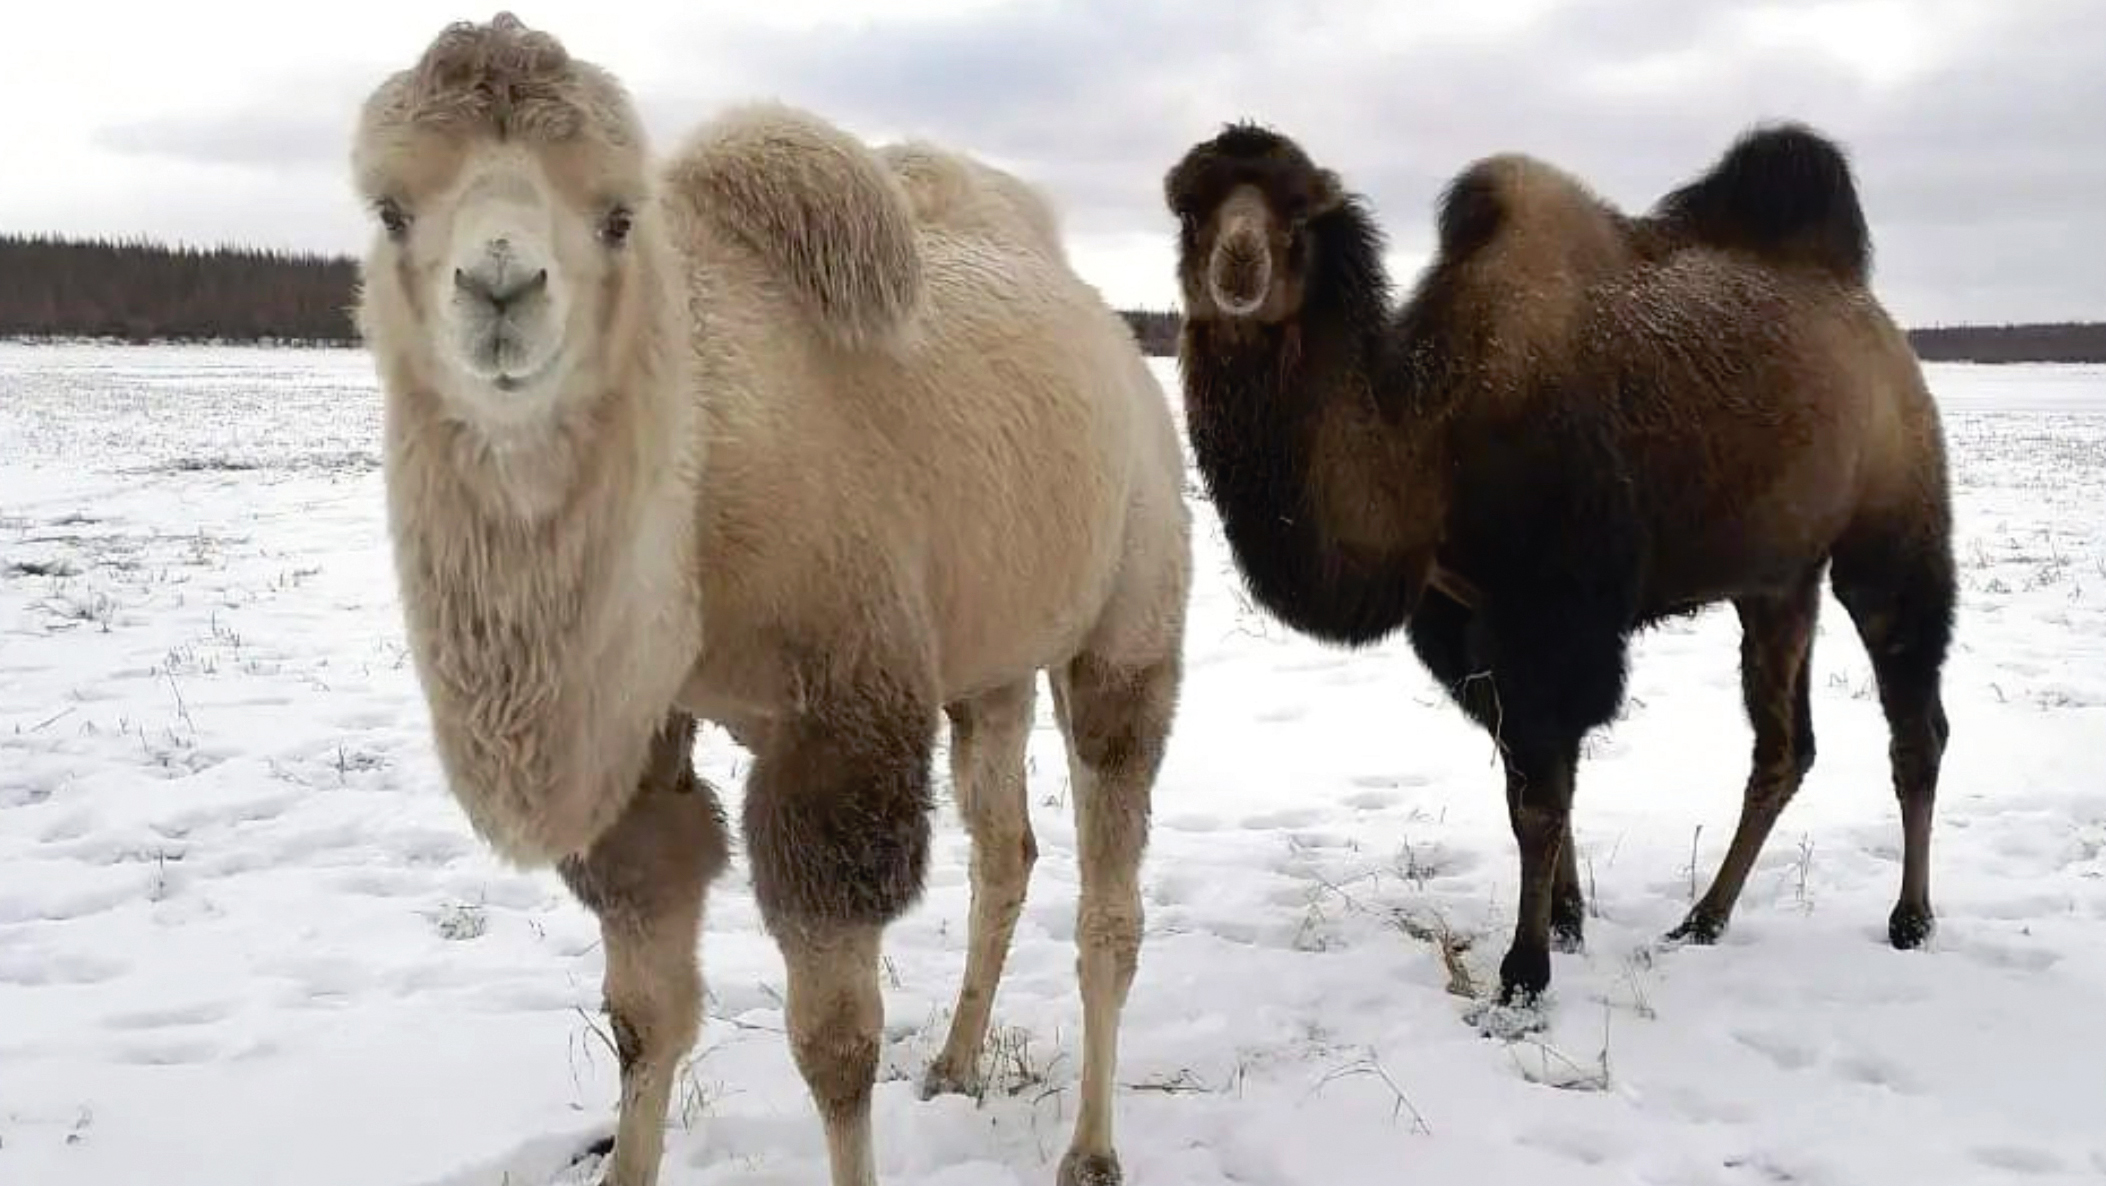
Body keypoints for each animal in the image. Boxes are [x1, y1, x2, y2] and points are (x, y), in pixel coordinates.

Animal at [1162, 123, 1945, 1011]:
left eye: (1298, 213)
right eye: (1189, 208)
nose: (1239, 265)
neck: (1429, 441)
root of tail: (1873, 317)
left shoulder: (1551, 614)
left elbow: (1538, 799)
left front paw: (1523, 971)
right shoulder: (1463, 620)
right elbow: (1534, 777)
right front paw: (1567, 921)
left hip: (1892, 525)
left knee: (1915, 723)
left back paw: (1910, 919)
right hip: (1775, 579)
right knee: (1784, 747)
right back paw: (1704, 918)